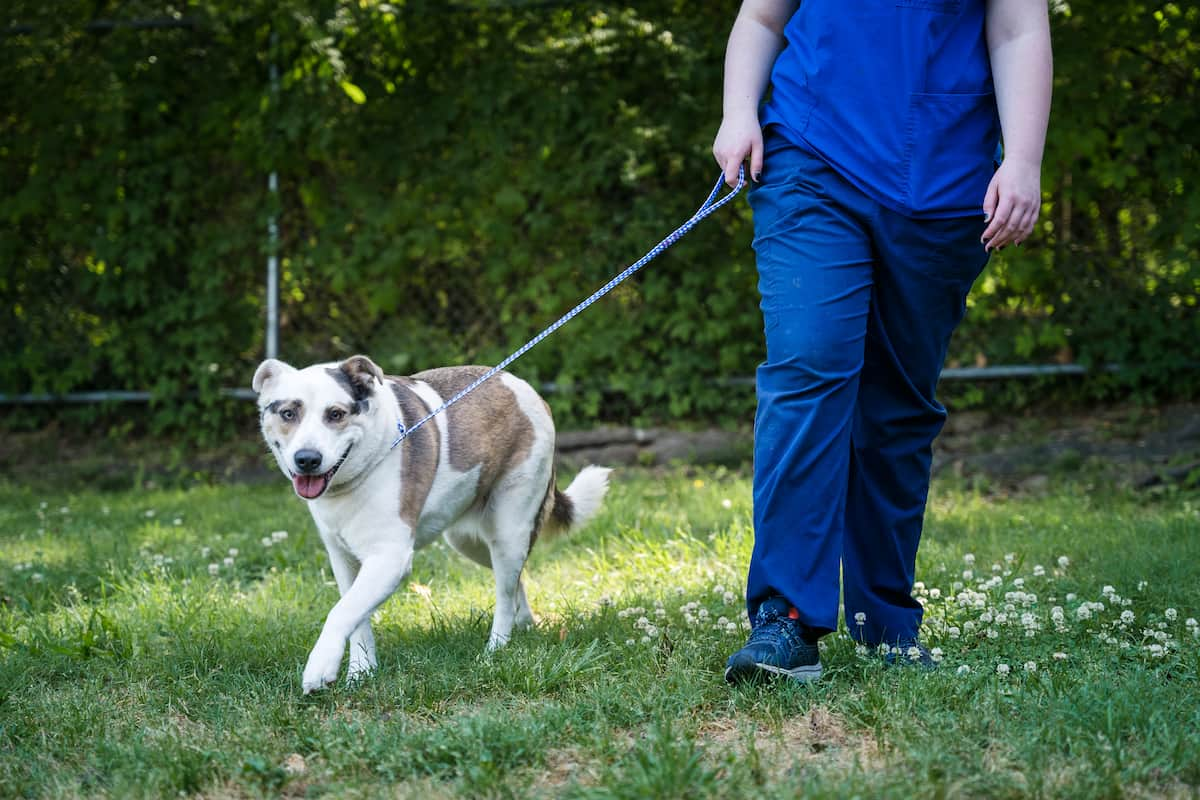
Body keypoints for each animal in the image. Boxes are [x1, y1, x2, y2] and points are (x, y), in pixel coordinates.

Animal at [253, 352, 609, 690]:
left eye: (336, 414)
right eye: (288, 413)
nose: (307, 460)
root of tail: (524, 386)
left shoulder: (390, 559)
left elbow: (341, 612)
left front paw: (320, 667)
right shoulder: (343, 559)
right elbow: (355, 616)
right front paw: (361, 672)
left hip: (510, 530)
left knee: (505, 593)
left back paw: (495, 649)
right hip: (469, 541)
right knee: (514, 580)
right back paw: (525, 624)